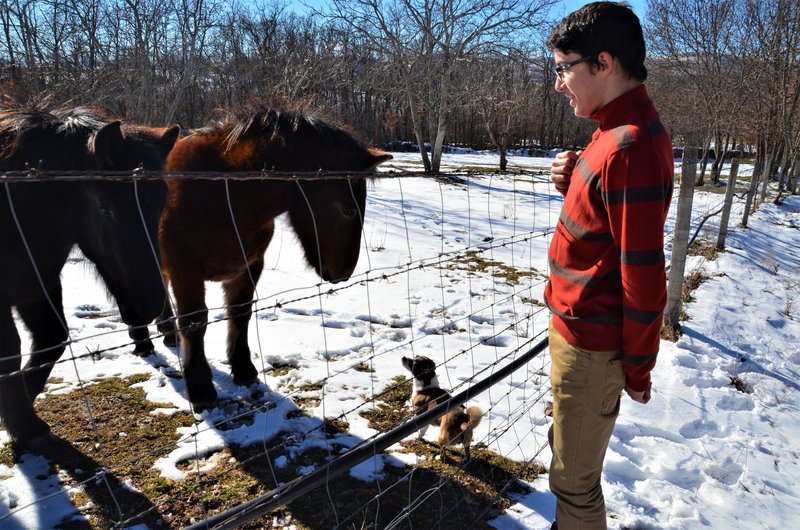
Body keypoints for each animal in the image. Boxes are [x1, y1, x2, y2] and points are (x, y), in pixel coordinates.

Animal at [159, 107, 390, 408]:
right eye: (348, 210)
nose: (343, 273)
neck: (224, 194)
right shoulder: (186, 272)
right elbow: (194, 324)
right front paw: (200, 389)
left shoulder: (250, 266)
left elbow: (240, 314)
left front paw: (243, 369)